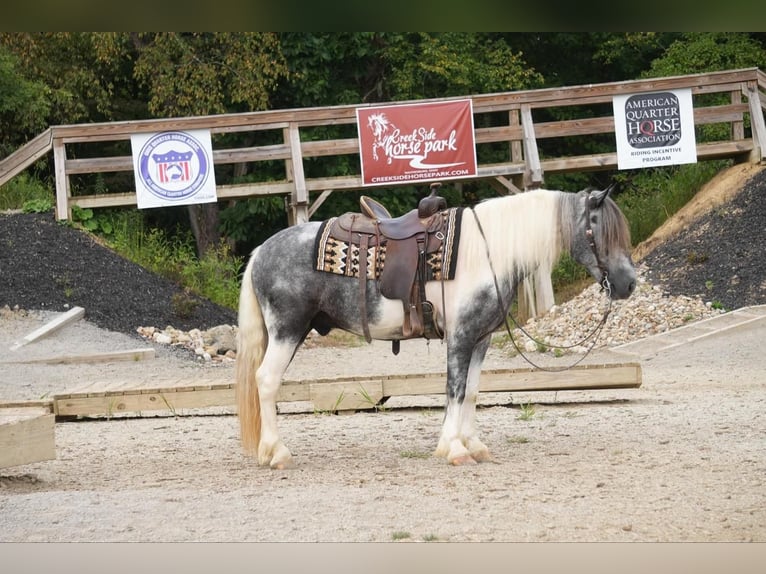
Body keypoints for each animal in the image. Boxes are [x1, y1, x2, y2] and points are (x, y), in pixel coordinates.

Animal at [237, 187, 640, 470]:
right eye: (600, 231)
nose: (629, 284)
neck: (489, 252)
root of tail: (260, 251)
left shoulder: (481, 339)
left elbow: (473, 392)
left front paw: (474, 445)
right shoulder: (460, 338)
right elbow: (455, 390)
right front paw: (454, 448)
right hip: (287, 330)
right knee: (267, 381)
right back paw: (276, 453)